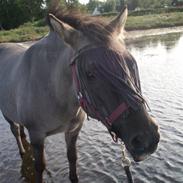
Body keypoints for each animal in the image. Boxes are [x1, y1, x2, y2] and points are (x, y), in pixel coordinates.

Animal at [0, 7, 159, 183]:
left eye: (131, 63)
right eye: (90, 74)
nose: (147, 139)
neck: (54, 93)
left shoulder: (73, 131)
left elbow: (72, 158)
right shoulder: (37, 136)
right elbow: (39, 167)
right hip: (7, 114)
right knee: (15, 130)